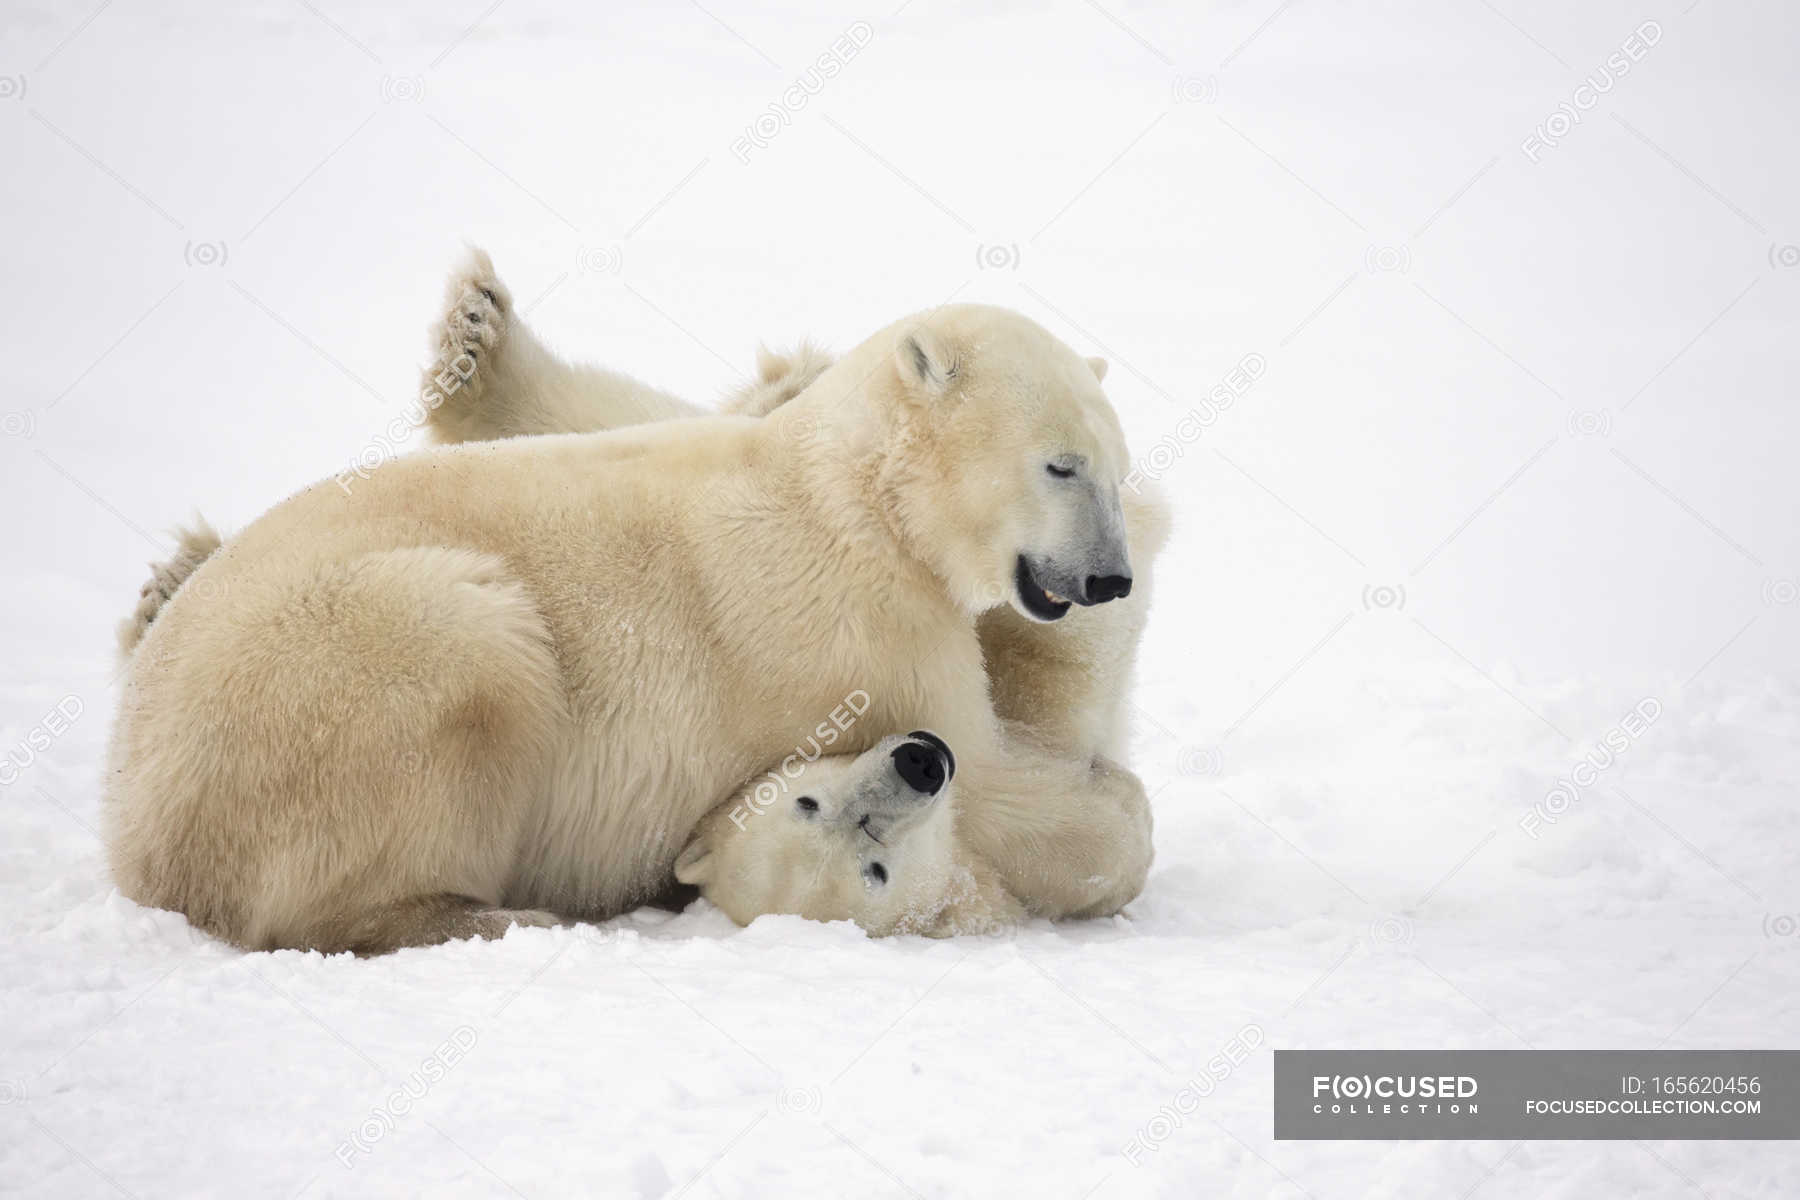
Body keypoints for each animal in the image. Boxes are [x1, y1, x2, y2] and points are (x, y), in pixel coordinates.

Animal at [108, 277, 1152, 949]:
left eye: (1114, 463)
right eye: (1061, 465)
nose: (1110, 579)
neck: (855, 501)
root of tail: (132, 829)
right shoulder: (864, 637)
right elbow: (986, 775)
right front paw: (1112, 818)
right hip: (340, 676)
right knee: (461, 661)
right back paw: (500, 916)